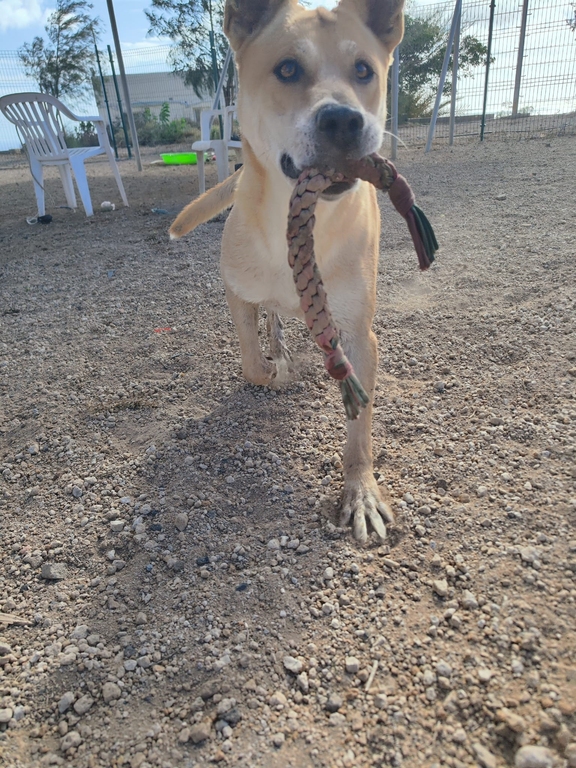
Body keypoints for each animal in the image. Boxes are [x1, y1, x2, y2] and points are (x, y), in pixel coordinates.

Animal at [170, 0, 405, 544]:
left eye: (364, 70)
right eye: (288, 70)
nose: (344, 120)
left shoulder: (360, 335)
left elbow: (359, 431)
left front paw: (360, 492)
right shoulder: (236, 292)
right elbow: (251, 363)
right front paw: (278, 372)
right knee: (273, 321)